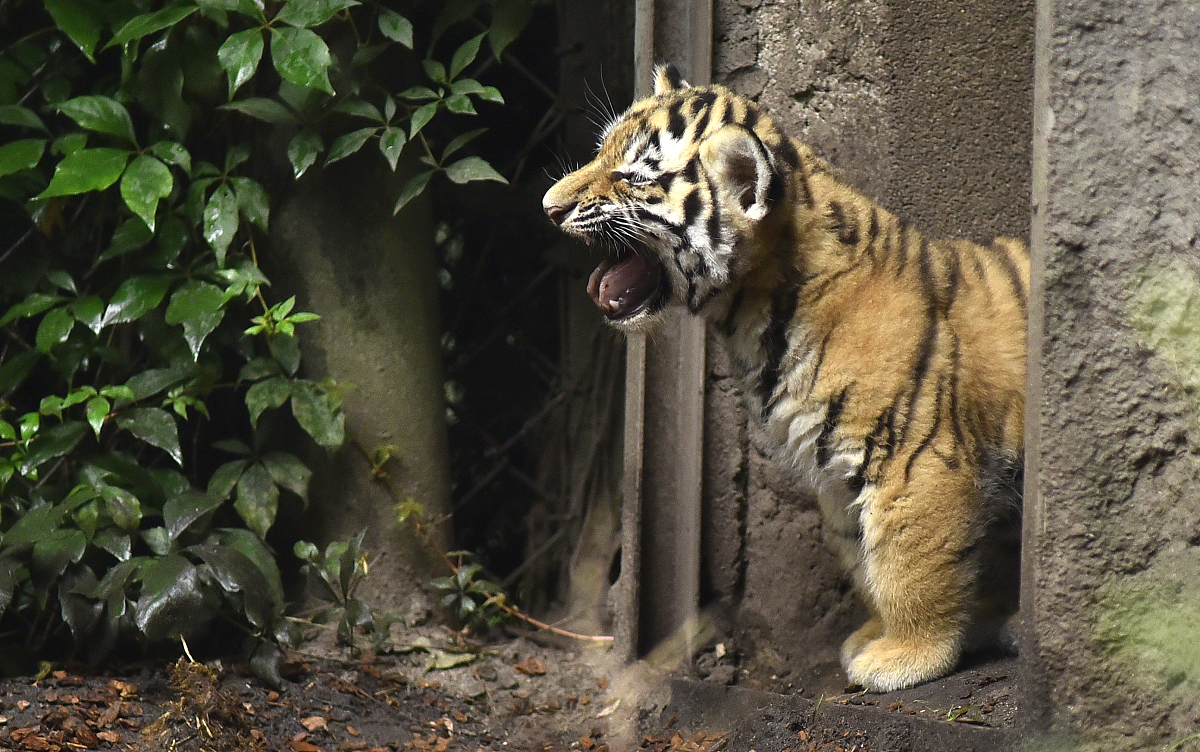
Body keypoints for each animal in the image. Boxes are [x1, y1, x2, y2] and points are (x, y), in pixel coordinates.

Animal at [542, 64, 1028, 692]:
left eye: (634, 176)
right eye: (601, 152)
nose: (548, 207)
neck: (754, 316)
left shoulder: (916, 460)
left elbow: (908, 564)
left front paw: (907, 656)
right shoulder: (838, 476)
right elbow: (864, 558)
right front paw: (873, 635)